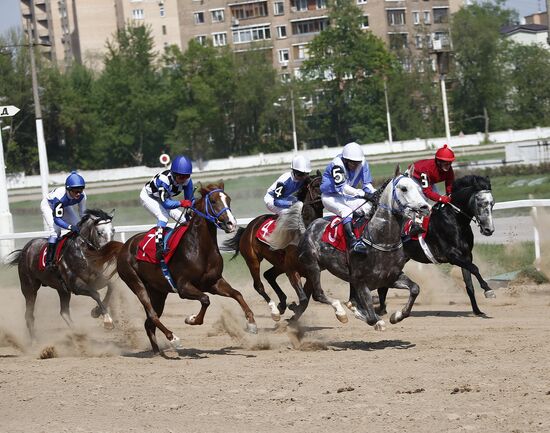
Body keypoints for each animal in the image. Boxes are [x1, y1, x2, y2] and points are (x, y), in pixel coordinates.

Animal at [7, 208, 122, 340]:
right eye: (99, 232)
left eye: (113, 231)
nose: (111, 253)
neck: (83, 253)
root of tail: (25, 250)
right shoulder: (76, 285)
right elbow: (95, 294)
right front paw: (107, 320)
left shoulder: (97, 279)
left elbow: (111, 286)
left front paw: (96, 311)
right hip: (29, 287)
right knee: (29, 314)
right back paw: (35, 341)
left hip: (62, 289)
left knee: (64, 312)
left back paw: (77, 333)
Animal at [117, 182, 258, 354]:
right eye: (213, 201)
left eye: (228, 199)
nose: (231, 224)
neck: (200, 248)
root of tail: (124, 246)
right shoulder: (183, 287)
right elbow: (205, 299)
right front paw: (191, 319)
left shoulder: (213, 282)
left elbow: (237, 294)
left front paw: (252, 323)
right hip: (136, 283)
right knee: (152, 314)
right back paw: (173, 338)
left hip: (158, 292)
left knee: (149, 322)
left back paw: (157, 351)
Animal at [221, 175, 324, 320]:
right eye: (316, 186)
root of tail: (248, 228)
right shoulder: (291, 270)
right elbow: (304, 298)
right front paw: (293, 310)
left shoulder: (310, 271)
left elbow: (308, 298)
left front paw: (293, 310)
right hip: (253, 260)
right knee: (258, 285)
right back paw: (275, 310)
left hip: (279, 264)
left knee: (268, 275)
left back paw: (282, 303)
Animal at [270, 167, 434, 330]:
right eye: (404, 188)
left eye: (420, 188)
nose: (425, 207)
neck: (382, 240)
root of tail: (308, 227)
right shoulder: (360, 281)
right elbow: (369, 314)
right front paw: (370, 317)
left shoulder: (390, 278)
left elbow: (415, 289)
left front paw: (397, 315)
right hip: (312, 266)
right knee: (318, 294)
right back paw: (340, 312)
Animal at [380, 174, 500, 316]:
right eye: (481, 203)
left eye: (492, 203)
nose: (489, 230)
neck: (455, 220)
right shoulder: (453, 256)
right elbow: (475, 268)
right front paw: (488, 290)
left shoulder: (466, 256)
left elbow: (469, 285)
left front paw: (477, 311)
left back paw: (382, 309)